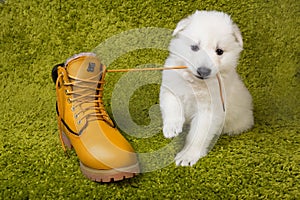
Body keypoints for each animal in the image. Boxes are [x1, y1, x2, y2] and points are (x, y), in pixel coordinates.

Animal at [159, 10, 253, 166]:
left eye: (219, 51)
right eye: (195, 47)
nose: (203, 71)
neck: (195, 83)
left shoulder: (209, 111)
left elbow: (198, 135)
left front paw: (187, 156)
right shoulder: (171, 88)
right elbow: (172, 107)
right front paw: (172, 127)